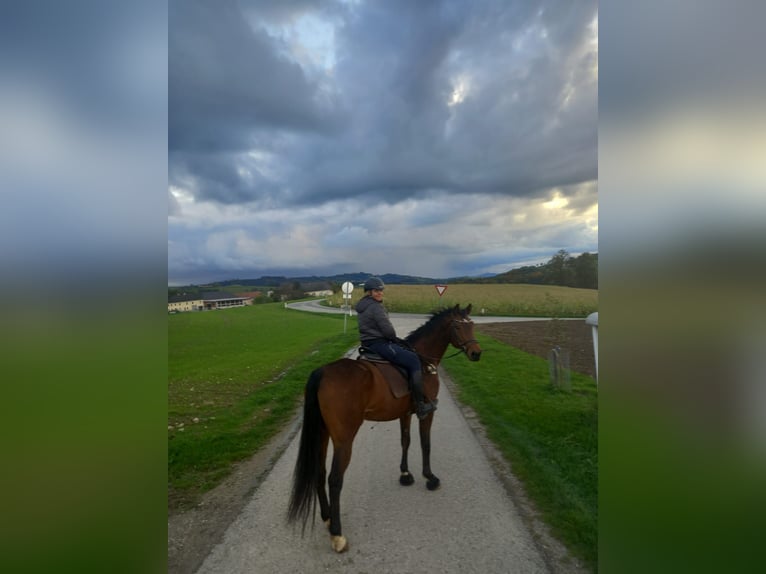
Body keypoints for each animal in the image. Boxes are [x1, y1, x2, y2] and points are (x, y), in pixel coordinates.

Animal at [287, 303, 483, 553]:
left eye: (473, 324)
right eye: (458, 326)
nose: (476, 353)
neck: (422, 361)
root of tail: (322, 373)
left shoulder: (405, 414)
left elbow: (405, 440)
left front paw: (405, 474)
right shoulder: (427, 413)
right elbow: (425, 443)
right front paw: (429, 477)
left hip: (322, 435)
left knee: (319, 474)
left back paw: (328, 518)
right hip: (344, 440)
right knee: (334, 479)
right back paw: (337, 534)